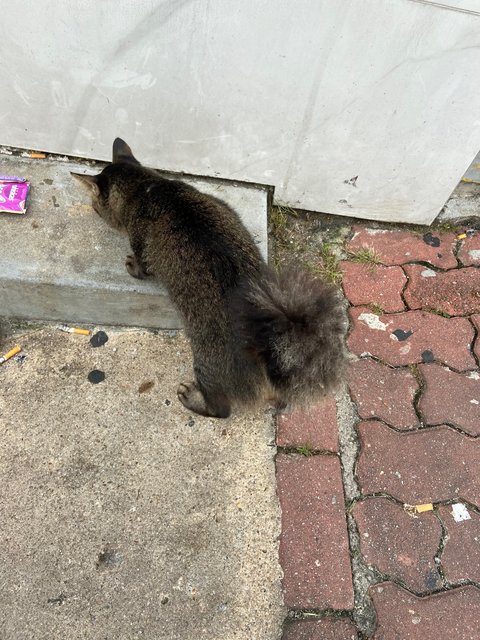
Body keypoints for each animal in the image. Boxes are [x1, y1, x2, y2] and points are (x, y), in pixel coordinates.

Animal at [72, 139, 344, 420]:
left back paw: (194, 399)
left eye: (95, 205)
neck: (148, 188)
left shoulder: (142, 250)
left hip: (206, 364)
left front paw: (130, 264)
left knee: (221, 409)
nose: (92, 208)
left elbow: (140, 266)